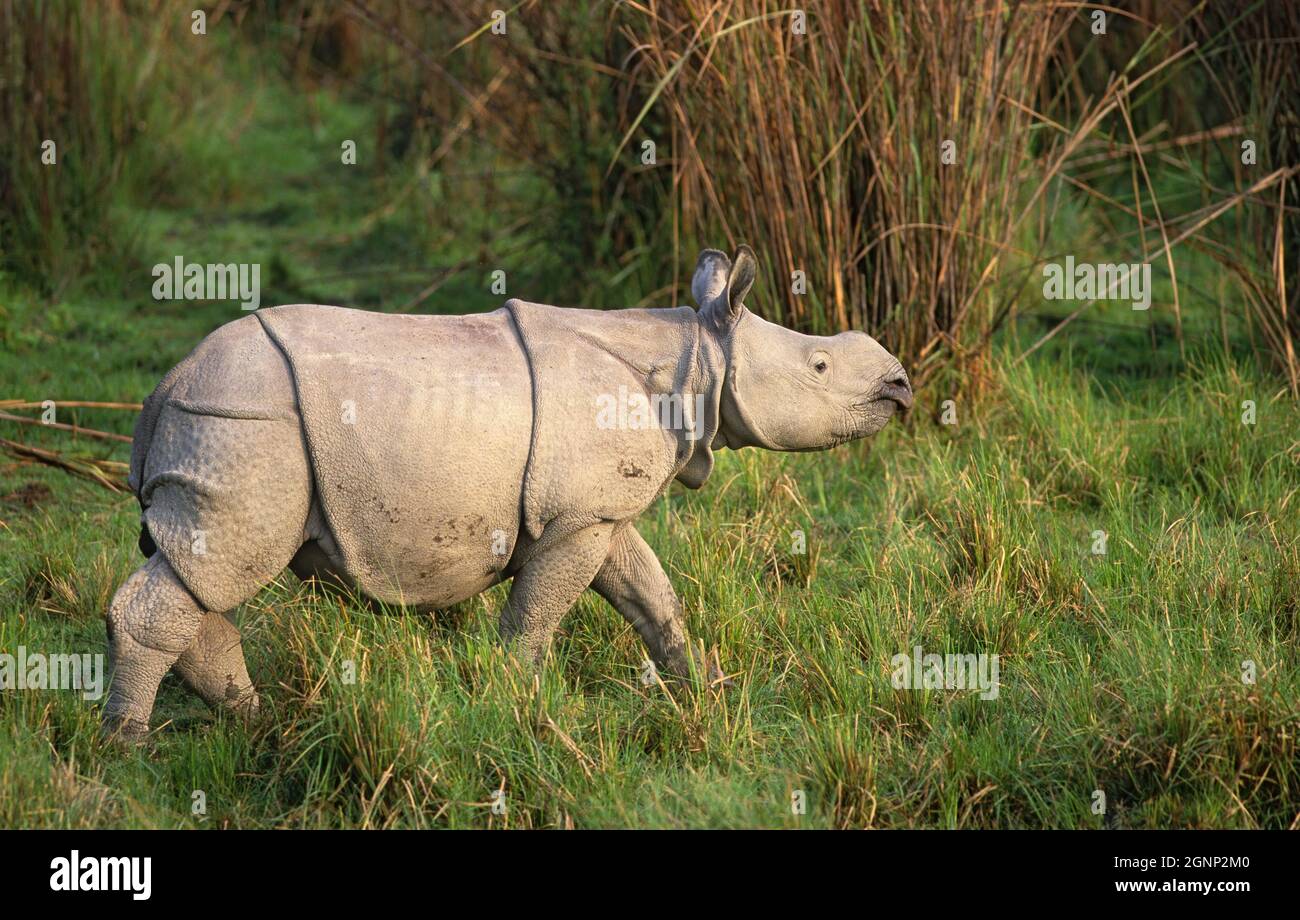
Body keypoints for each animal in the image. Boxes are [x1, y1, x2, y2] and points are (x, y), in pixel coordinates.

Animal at [103, 245, 912, 738]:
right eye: (818, 366)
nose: (902, 385)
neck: (697, 357)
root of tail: (165, 386)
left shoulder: (598, 509)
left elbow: (653, 597)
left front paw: (702, 691)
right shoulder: (577, 518)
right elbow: (538, 614)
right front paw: (514, 701)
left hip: (227, 423)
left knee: (201, 578)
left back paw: (251, 719)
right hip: (245, 422)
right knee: (214, 567)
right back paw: (129, 745)